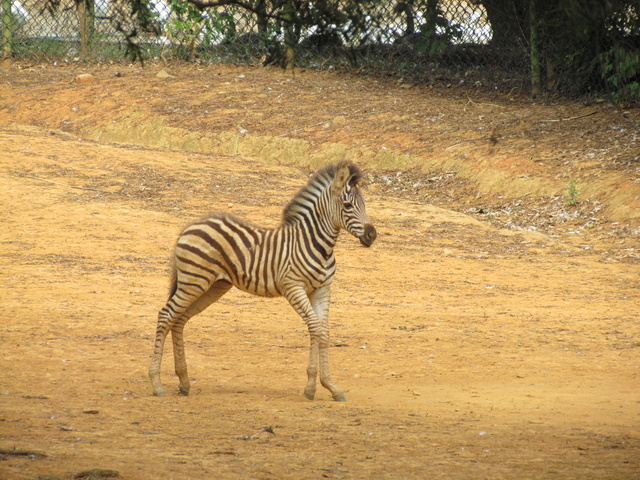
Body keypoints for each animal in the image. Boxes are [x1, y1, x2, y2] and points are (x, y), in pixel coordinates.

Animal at [151, 162, 378, 402]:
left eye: (364, 205)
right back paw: (157, 384)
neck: (318, 246)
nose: (372, 235)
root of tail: (191, 226)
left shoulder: (322, 290)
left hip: (213, 285)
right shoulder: (293, 286)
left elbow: (324, 332)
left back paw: (184, 382)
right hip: (194, 281)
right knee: (166, 315)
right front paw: (311, 387)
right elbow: (315, 327)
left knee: (179, 319)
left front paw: (332, 387)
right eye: (347, 205)